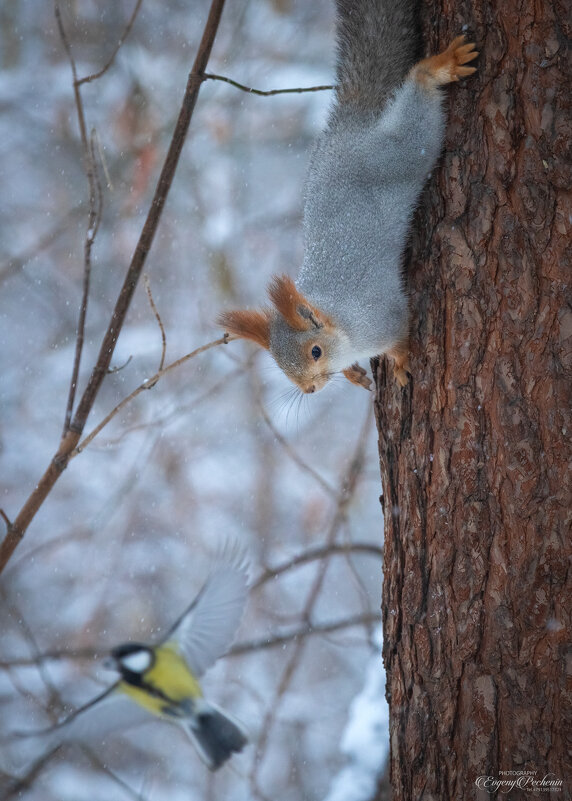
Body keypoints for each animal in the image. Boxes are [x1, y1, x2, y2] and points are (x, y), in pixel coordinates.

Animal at [217, 0, 476, 394]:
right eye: (280, 366)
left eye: (316, 352)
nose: (309, 389)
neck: (341, 322)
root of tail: (350, 123)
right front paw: (355, 374)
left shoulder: (382, 317)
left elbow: (399, 335)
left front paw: (400, 361)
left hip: (397, 155)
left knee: (415, 120)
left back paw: (435, 69)